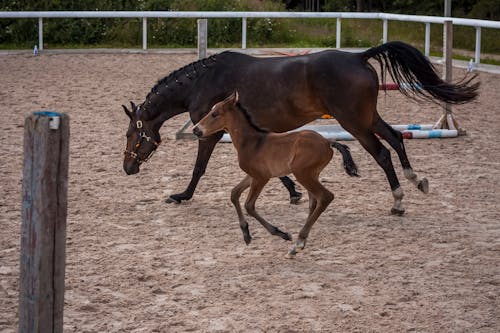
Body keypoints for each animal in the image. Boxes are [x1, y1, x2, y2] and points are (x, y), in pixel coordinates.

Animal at [123, 40, 478, 214]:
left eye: (132, 134)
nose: (127, 168)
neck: (203, 81)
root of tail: (358, 58)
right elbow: (274, 168)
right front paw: (294, 192)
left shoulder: (209, 133)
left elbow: (199, 168)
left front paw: (181, 195)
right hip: (367, 117)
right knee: (396, 138)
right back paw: (416, 180)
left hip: (354, 122)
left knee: (381, 153)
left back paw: (398, 200)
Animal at [191, 91, 360, 256]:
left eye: (215, 114)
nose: (196, 130)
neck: (252, 142)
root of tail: (328, 142)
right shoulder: (251, 175)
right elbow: (234, 194)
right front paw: (246, 234)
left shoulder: (261, 177)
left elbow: (249, 205)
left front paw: (281, 233)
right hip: (312, 175)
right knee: (314, 202)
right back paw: (299, 244)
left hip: (302, 174)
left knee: (325, 197)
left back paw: (298, 242)